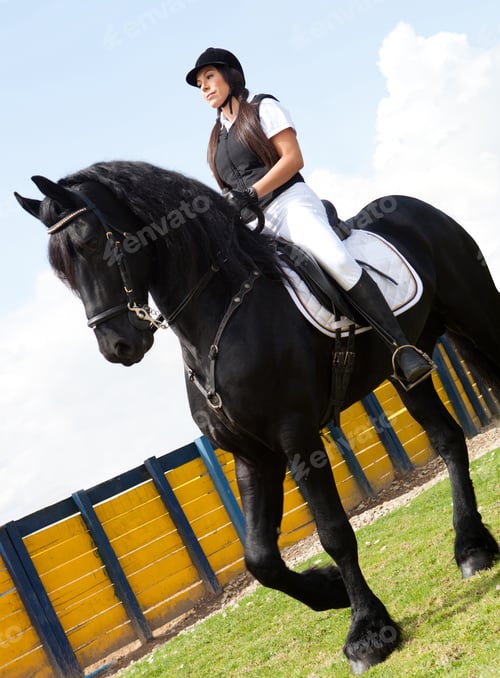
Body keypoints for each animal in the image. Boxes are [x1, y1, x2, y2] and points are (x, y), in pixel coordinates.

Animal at [15, 161, 499, 674]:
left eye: (92, 242)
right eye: (61, 270)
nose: (117, 346)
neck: (219, 318)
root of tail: (417, 208)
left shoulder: (297, 438)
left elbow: (334, 532)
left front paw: (368, 634)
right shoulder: (252, 455)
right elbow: (259, 558)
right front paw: (329, 589)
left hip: (478, 316)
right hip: (410, 370)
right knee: (448, 439)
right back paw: (472, 550)